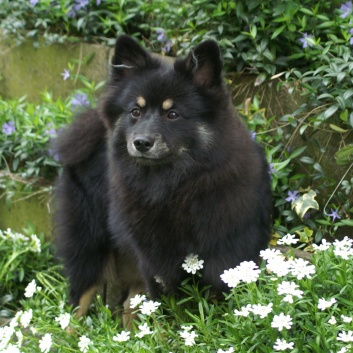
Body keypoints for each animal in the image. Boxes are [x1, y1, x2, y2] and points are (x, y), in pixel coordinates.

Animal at [53, 34, 270, 324]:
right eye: (135, 111)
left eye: (173, 114)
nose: (141, 143)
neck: (173, 187)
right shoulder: (155, 262)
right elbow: (166, 313)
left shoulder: (229, 255)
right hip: (90, 247)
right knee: (79, 303)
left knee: (128, 304)